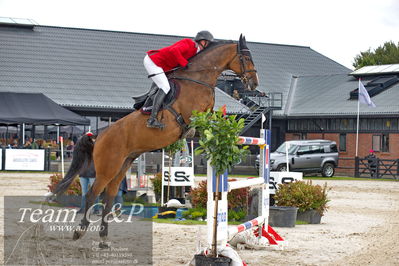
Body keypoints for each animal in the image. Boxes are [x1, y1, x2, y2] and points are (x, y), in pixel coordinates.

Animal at [52, 33, 260, 247]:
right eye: (246, 58)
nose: (254, 84)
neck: (199, 79)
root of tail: (99, 135)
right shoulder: (195, 113)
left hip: (122, 166)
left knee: (108, 196)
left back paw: (103, 238)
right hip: (107, 167)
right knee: (92, 194)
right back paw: (80, 232)